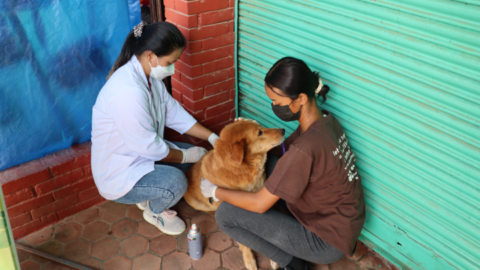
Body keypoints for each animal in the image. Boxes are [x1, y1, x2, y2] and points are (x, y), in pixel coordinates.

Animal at [185, 118, 284, 270]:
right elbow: (243, 242)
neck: (242, 169)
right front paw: (249, 259)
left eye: (261, 126)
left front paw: (274, 259)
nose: (283, 130)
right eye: (260, 132)